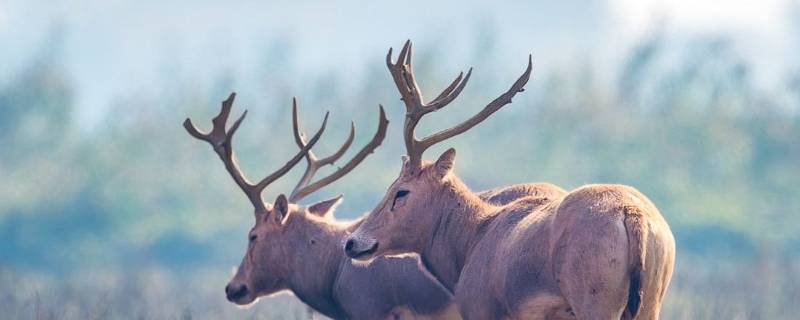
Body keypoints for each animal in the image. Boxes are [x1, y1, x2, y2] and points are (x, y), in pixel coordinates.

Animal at [344, 41, 676, 318]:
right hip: (651, 300)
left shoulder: (482, 310)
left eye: (401, 191)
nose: (351, 242)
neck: (471, 242)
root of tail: (632, 215)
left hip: (595, 298)